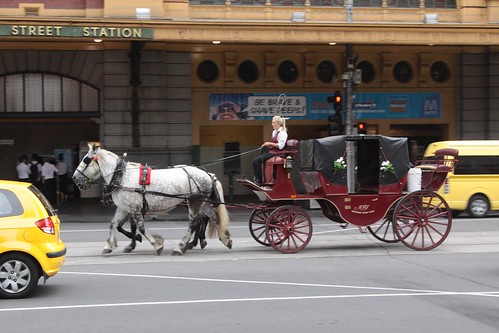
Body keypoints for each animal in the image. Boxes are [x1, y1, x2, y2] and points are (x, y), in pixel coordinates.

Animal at [72, 144, 232, 255]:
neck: (122, 176)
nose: (74, 178)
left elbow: (140, 228)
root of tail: (207, 174)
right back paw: (225, 239)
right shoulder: (125, 208)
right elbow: (113, 224)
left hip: (194, 202)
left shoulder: (135, 208)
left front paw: (157, 244)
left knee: (195, 223)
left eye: (86, 159)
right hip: (203, 202)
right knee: (213, 218)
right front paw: (108, 246)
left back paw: (181, 247)